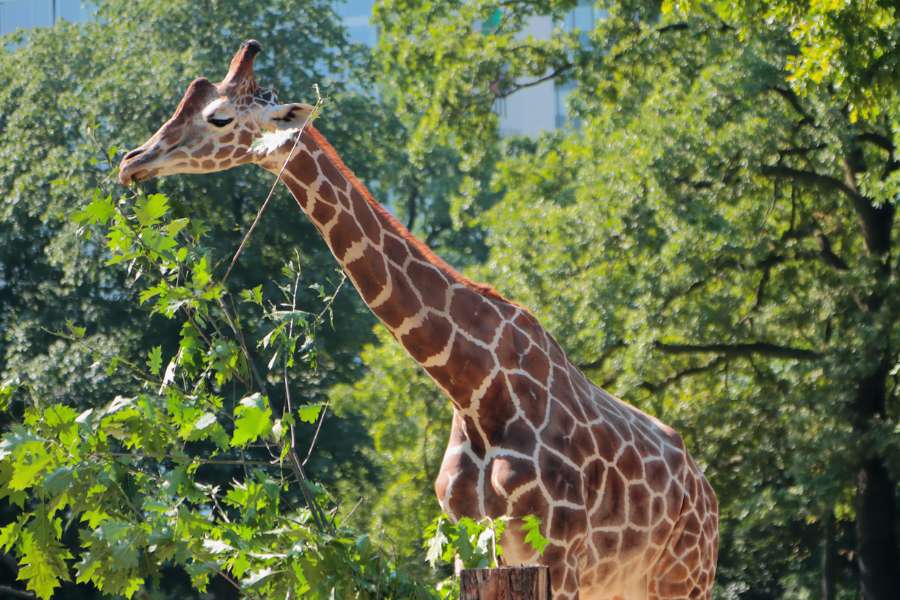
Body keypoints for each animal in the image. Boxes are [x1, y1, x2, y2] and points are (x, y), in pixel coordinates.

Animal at [118, 40, 718, 600]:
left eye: (218, 117)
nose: (132, 159)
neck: (477, 391)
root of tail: (706, 493)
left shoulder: (559, 551)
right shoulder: (465, 543)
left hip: (681, 578)